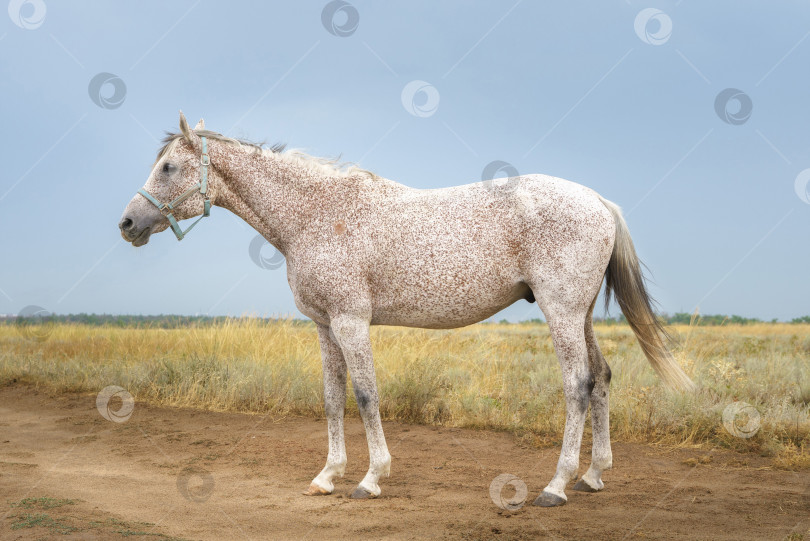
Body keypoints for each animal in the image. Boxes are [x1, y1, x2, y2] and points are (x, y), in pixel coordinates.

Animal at [117, 114, 692, 506]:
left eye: (168, 167)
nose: (127, 224)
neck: (314, 214)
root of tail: (597, 201)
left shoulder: (351, 323)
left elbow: (366, 395)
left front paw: (371, 479)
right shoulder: (324, 326)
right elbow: (332, 399)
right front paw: (327, 476)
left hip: (562, 315)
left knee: (577, 385)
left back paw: (556, 485)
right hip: (580, 314)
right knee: (601, 376)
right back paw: (593, 475)